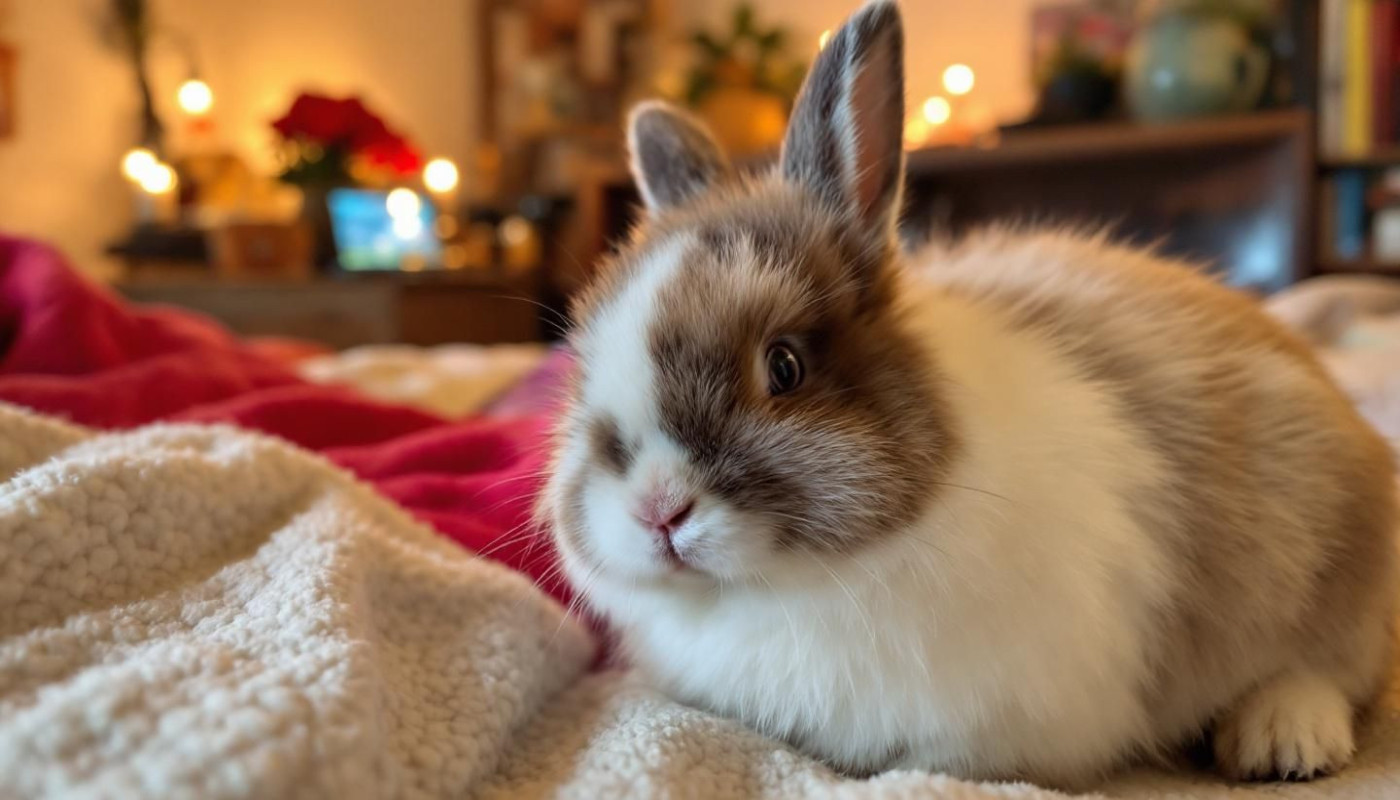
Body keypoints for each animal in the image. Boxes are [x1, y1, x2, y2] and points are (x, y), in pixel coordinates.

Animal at [542, 0, 1399, 788]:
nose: (657, 511)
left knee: (1337, 672)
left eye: (783, 367)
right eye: (582, 370)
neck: (782, 587)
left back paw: (1284, 740)